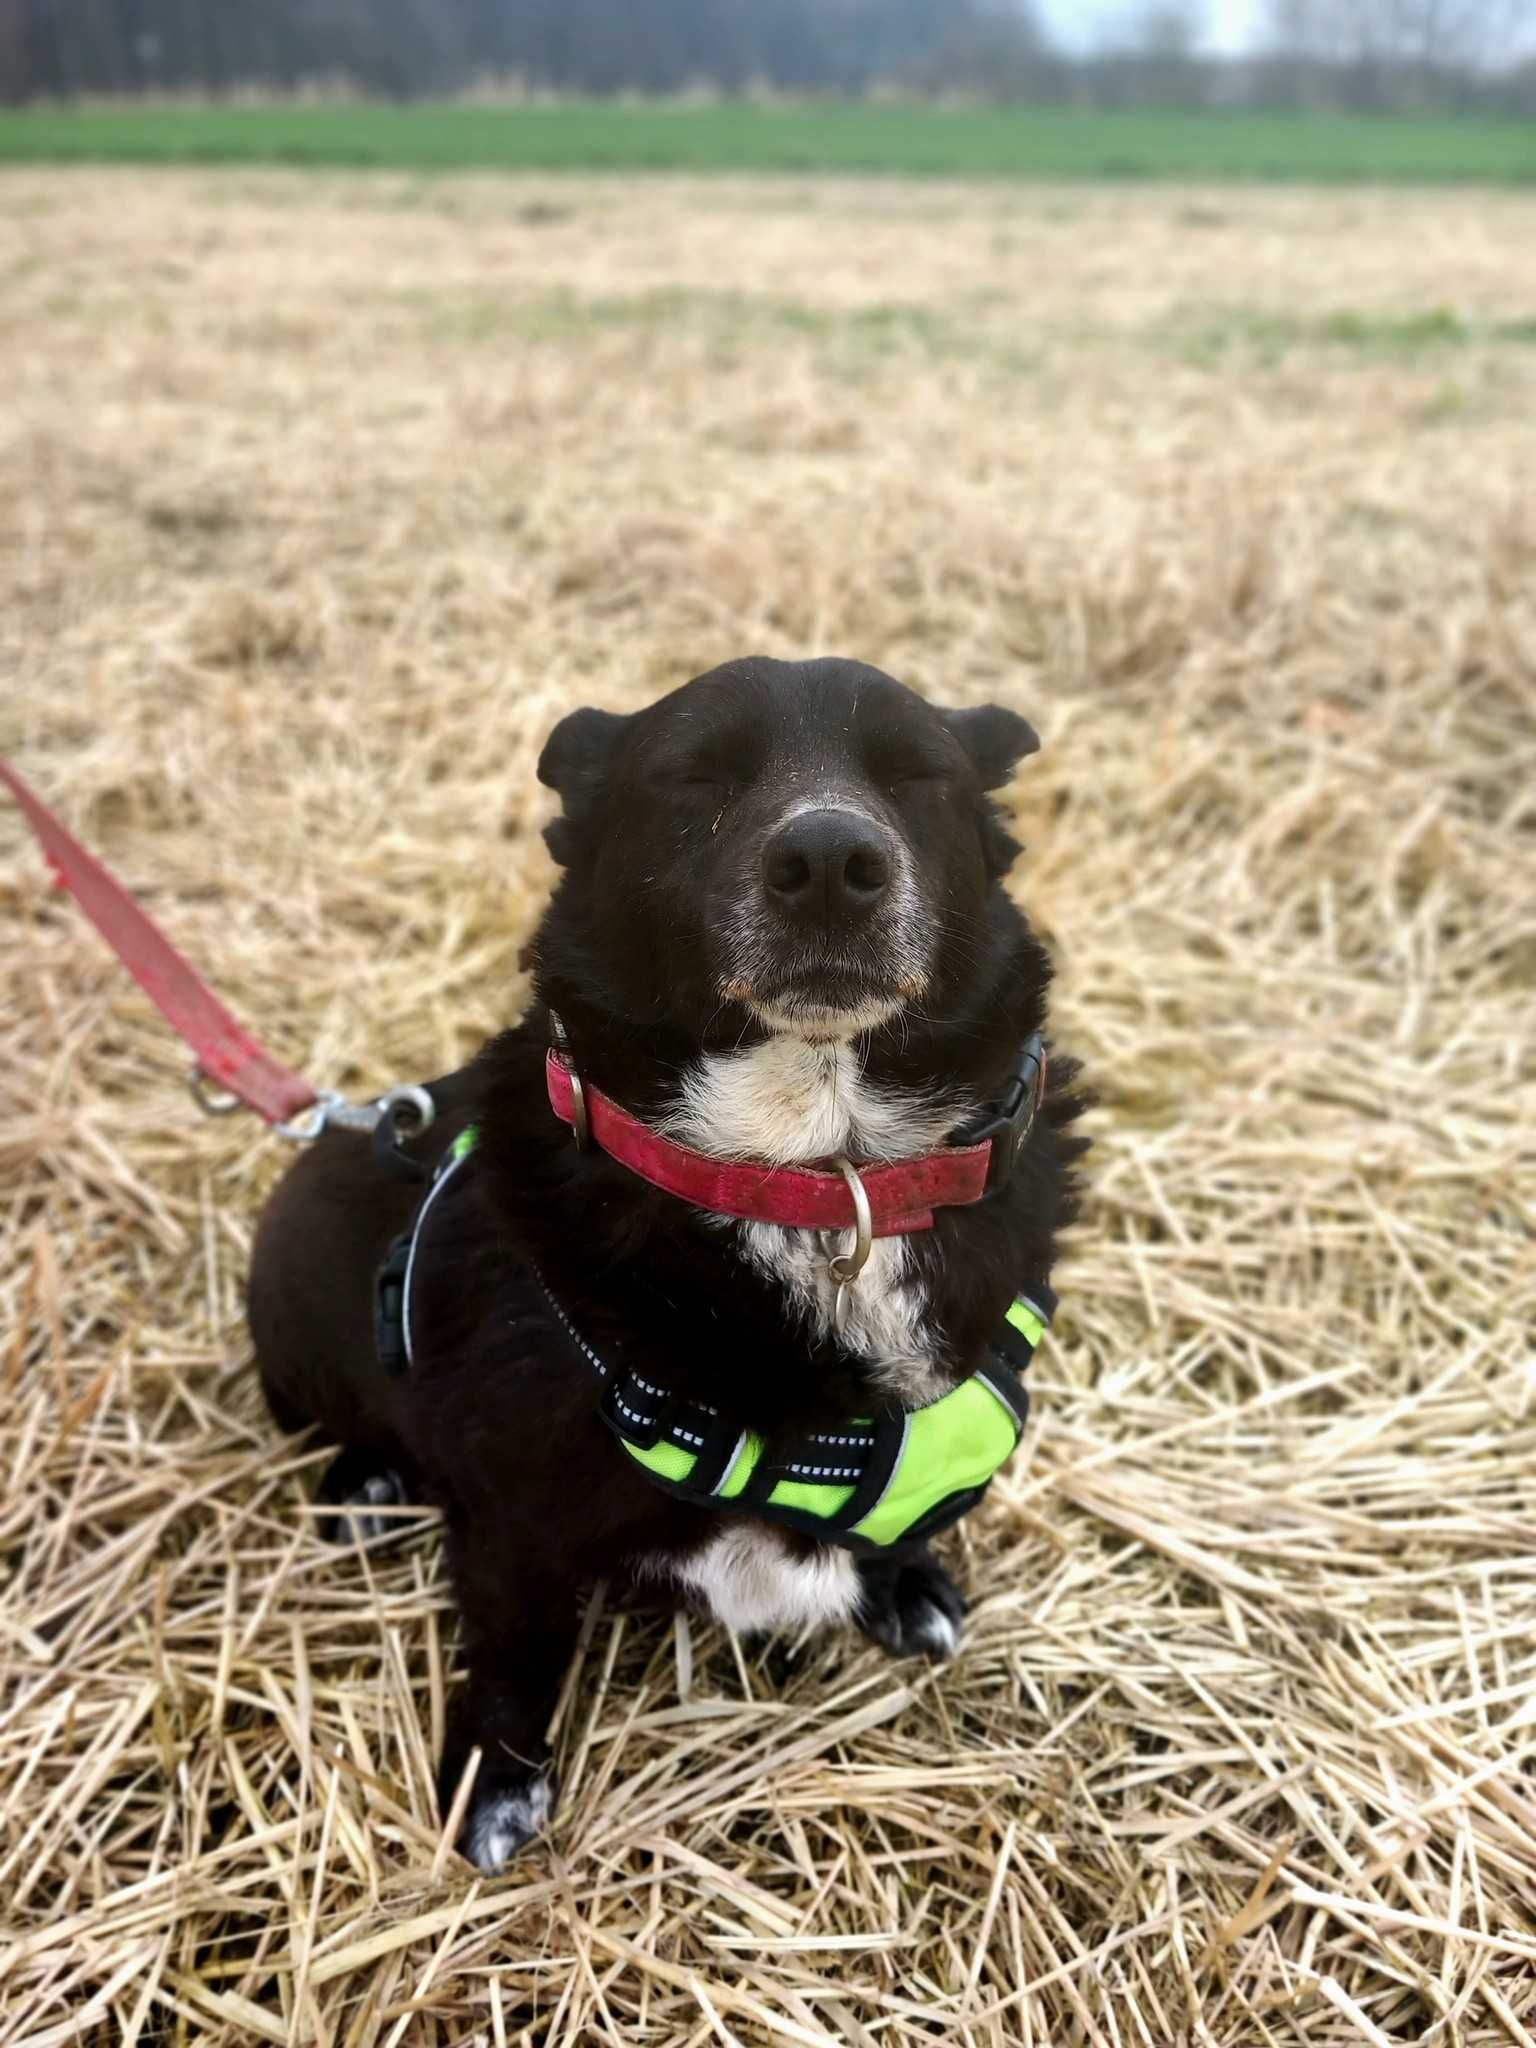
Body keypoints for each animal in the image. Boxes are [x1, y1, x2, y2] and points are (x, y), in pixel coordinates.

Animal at [249, 659, 1081, 1875]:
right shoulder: (512, 1519)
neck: (816, 1175)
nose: (829, 862)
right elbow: (514, 1653)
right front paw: (495, 1786)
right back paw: (364, 1482)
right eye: (697, 777)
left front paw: (904, 1577)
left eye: (915, 774)